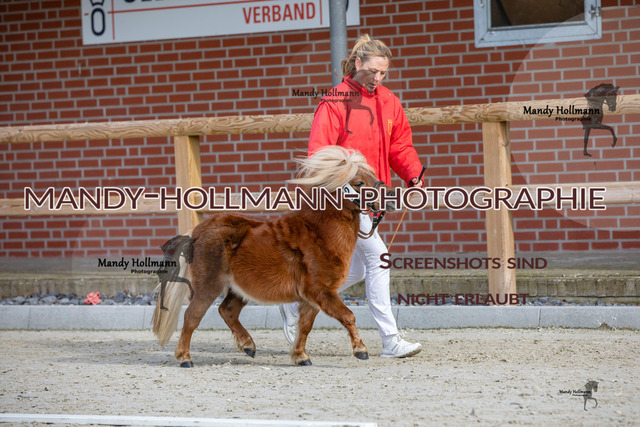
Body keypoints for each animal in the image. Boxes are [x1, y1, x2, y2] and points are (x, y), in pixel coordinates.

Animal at [152, 146, 397, 367]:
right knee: (192, 317)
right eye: (359, 183)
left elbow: (305, 326)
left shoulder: (311, 298)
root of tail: (199, 230)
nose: (392, 198)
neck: (319, 233)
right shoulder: (321, 291)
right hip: (209, 285)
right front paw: (360, 350)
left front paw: (300, 356)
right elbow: (347, 316)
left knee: (227, 310)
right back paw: (185, 358)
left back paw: (248, 346)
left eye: (374, 176)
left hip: (238, 289)